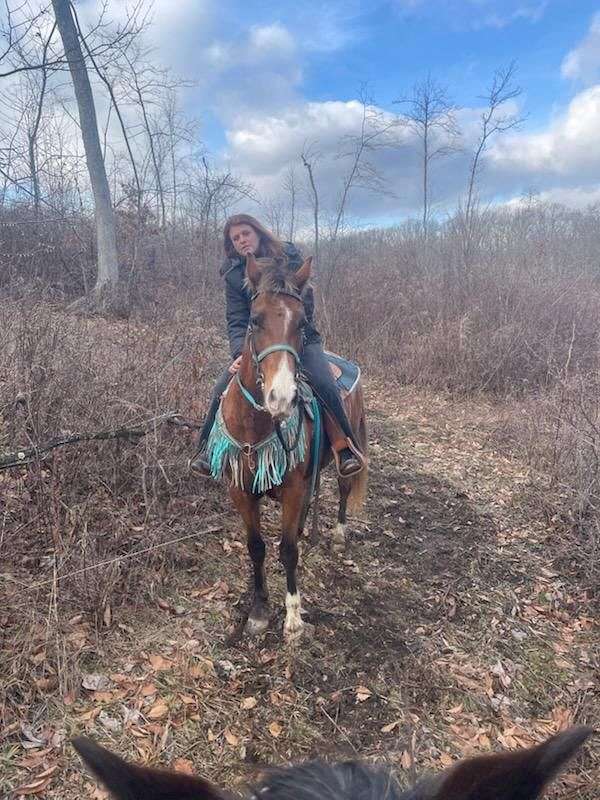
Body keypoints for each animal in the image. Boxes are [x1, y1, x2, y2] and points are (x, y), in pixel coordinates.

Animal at [204, 256, 368, 644]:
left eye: (302, 323)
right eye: (253, 319)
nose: (281, 397)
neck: (258, 426)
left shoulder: (293, 489)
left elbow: (288, 549)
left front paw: (293, 618)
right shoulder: (241, 491)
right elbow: (257, 547)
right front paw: (259, 611)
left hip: (344, 455)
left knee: (343, 488)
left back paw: (338, 535)